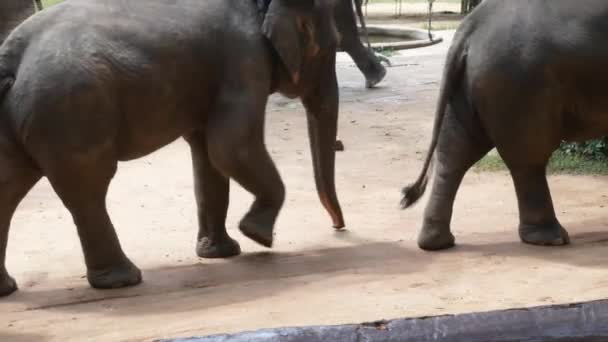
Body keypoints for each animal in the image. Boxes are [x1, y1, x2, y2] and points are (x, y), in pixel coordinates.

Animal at [0, 0, 344, 296]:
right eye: (332, 47)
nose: (339, 228)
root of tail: (11, 56)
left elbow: (208, 154)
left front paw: (222, 253)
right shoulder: (245, 61)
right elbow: (231, 146)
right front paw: (256, 235)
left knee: (11, 186)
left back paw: (8, 289)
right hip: (72, 110)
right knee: (88, 188)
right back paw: (123, 280)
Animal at [402, 0, 604, 251]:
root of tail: (471, 25)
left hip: (474, 83)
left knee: (455, 152)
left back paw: (437, 242)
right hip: (521, 81)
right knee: (528, 158)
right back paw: (551, 239)